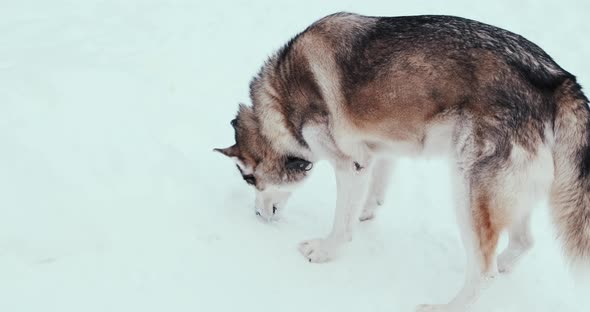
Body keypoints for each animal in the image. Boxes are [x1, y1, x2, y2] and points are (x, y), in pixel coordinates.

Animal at [215, 12, 588, 312]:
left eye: (249, 179)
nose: (258, 216)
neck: (281, 103)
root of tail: (559, 78)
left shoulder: (350, 164)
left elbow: (341, 224)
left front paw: (325, 251)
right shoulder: (378, 152)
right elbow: (373, 191)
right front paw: (365, 213)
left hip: (468, 191)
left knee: (485, 272)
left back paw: (444, 307)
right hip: (506, 196)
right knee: (523, 243)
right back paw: (505, 263)